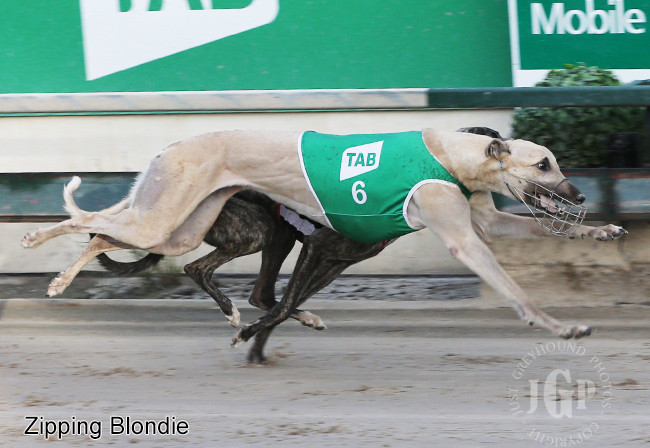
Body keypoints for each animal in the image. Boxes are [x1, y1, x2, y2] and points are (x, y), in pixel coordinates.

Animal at [22, 126, 627, 351]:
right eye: (544, 164)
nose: (578, 192)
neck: (450, 153)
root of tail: (169, 146)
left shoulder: (483, 218)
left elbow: (517, 225)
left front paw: (603, 229)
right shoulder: (461, 236)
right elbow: (512, 285)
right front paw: (561, 325)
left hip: (183, 226)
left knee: (107, 236)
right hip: (164, 219)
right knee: (86, 226)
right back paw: (42, 256)